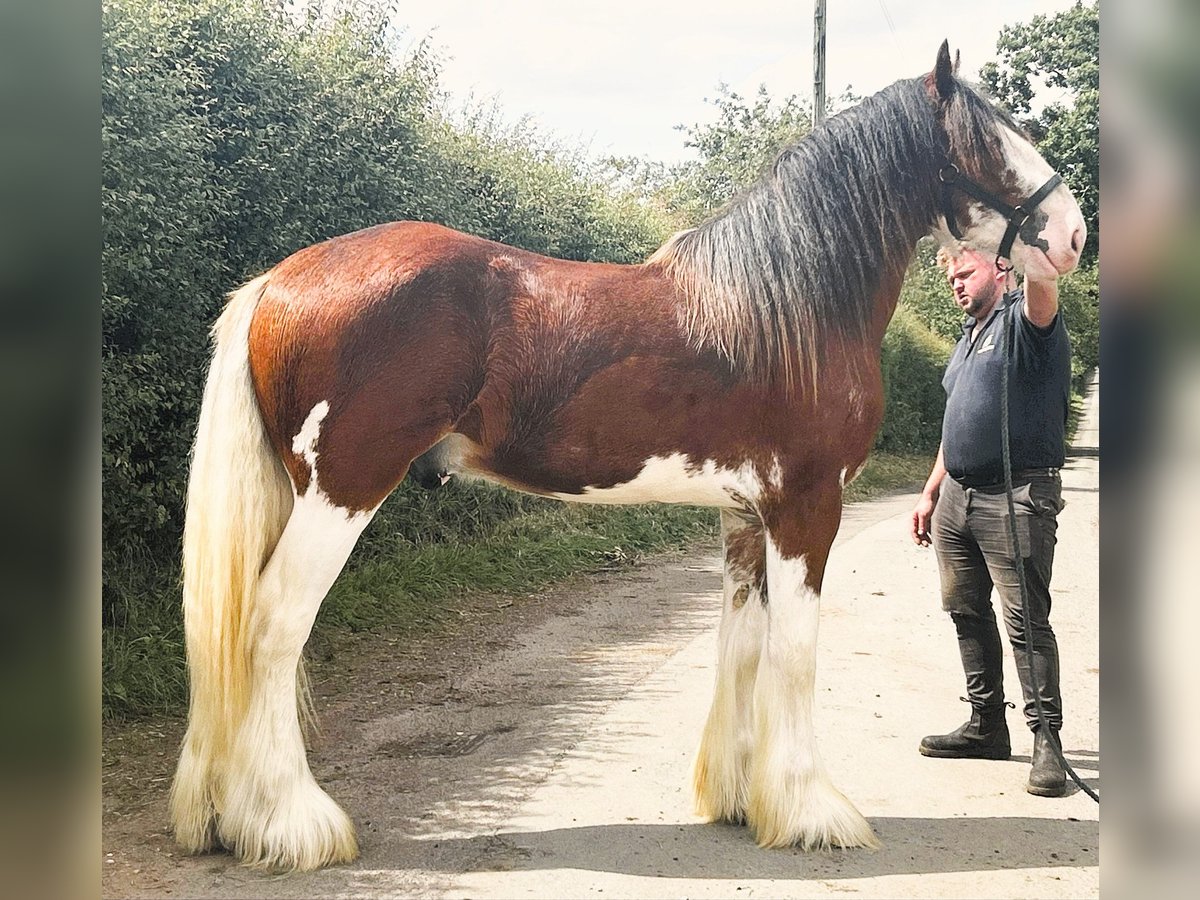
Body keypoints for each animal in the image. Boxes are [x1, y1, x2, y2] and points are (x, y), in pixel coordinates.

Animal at [166, 44, 1089, 873]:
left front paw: (742, 799)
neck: (787, 308)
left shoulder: (746, 515)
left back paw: (225, 817)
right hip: (342, 492)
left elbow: (742, 643)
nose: (1075, 235)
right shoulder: (806, 508)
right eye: (990, 143)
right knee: (273, 627)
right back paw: (292, 824)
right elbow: (794, 653)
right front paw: (813, 812)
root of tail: (279, 280)